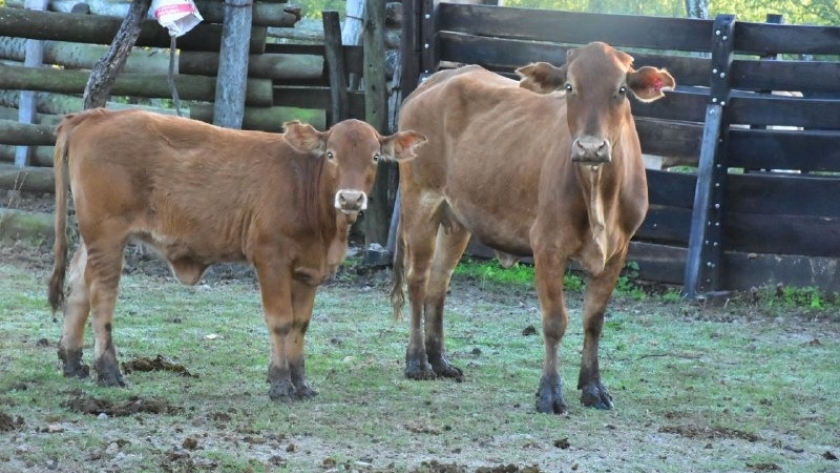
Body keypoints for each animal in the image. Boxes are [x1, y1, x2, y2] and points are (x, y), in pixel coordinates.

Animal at [47, 109, 426, 400]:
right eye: (331, 154)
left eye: (374, 157)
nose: (349, 198)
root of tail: (95, 115)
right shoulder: (270, 259)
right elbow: (281, 321)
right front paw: (280, 384)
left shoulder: (307, 272)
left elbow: (300, 325)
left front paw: (300, 383)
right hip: (108, 235)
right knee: (102, 296)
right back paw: (108, 370)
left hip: (93, 238)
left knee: (78, 286)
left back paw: (72, 361)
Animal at [394, 42, 676, 412]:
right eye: (570, 87)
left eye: (621, 90)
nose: (590, 147)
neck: (598, 193)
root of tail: (436, 80)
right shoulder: (547, 246)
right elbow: (555, 322)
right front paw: (550, 393)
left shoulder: (618, 251)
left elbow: (594, 320)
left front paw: (593, 387)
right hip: (421, 201)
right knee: (417, 279)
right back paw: (417, 362)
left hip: (456, 219)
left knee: (438, 283)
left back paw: (439, 360)